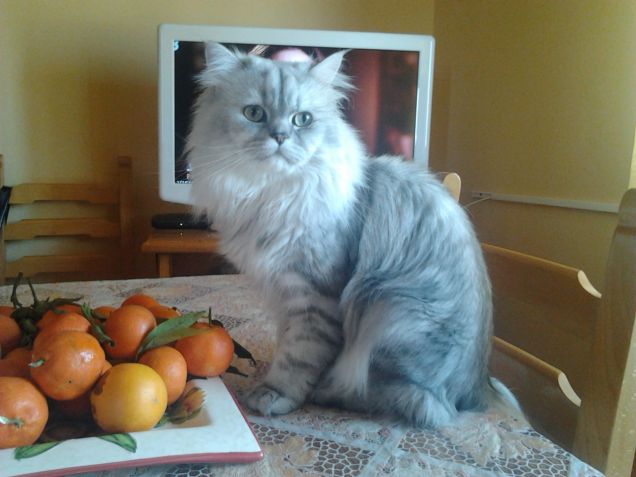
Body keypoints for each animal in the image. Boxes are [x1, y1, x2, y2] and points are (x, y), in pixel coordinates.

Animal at [188, 42, 506, 426]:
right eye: (254, 113)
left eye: (302, 119)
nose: (279, 137)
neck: (274, 192)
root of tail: (475, 395)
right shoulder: (285, 295)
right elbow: (286, 341)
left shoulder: (314, 294)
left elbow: (298, 355)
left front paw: (276, 394)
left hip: (387, 308)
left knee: (409, 400)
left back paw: (331, 392)